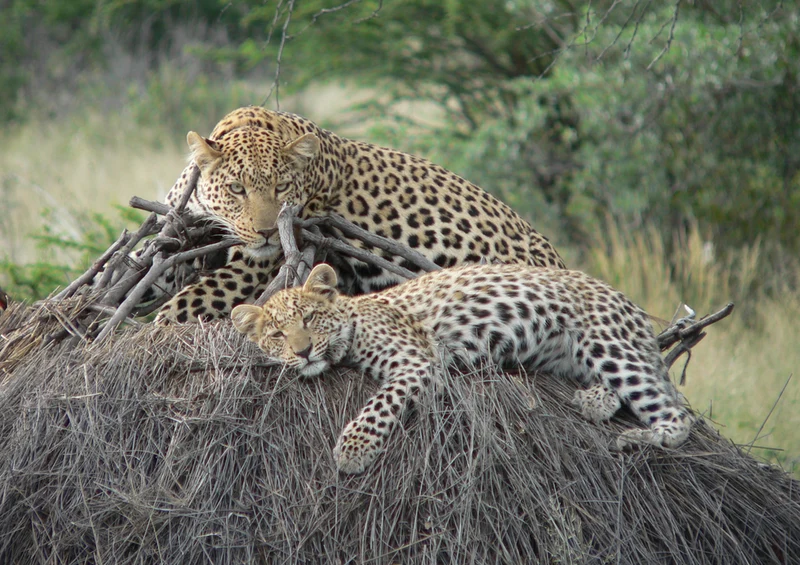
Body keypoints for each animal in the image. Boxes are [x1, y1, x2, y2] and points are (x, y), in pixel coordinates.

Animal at [153, 106, 566, 324]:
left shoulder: (262, 264)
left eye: (282, 188)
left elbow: (193, 300)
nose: (269, 232)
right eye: (236, 189)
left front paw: (160, 324)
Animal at [231, 263, 694, 474]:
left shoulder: (418, 361)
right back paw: (595, 400)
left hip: (609, 345)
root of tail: (630, 304)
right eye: (277, 335)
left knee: (678, 415)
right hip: (580, 356)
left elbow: (379, 404)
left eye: (309, 319)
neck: (353, 317)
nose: (304, 351)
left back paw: (638, 438)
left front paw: (353, 450)